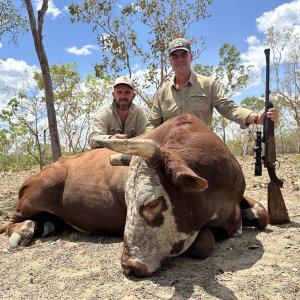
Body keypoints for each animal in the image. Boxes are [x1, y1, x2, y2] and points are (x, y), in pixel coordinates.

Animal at [0, 114, 268, 276]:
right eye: (127, 203)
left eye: (152, 203)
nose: (130, 265)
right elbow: (204, 242)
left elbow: (263, 214)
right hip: (38, 192)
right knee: (10, 221)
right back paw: (24, 230)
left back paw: (46, 225)